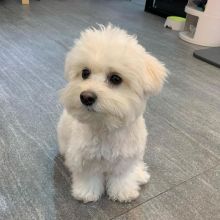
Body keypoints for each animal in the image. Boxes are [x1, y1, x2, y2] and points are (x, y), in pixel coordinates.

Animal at [56, 24, 167, 203]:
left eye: (115, 78)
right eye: (85, 73)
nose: (86, 97)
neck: (107, 127)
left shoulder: (125, 160)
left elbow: (122, 177)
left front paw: (123, 192)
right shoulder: (85, 159)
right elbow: (89, 177)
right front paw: (86, 192)